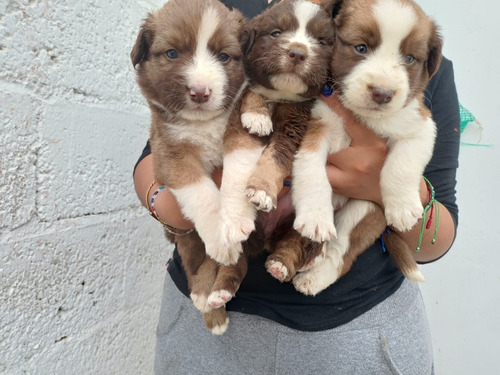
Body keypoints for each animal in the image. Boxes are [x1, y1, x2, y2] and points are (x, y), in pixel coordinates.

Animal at [131, 0, 252, 336]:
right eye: (172, 53)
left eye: (224, 56)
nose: (200, 92)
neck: (202, 124)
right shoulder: (169, 153)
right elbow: (203, 194)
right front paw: (220, 236)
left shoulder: (243, 129)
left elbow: (239, 173)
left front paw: (233, 220)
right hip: (184, 236)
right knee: (193, 260)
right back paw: (205, 297)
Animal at [292, 0, 442, 296]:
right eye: (360, 48)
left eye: (410, 59)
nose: (383, 94)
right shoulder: (319, 123)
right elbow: (310, 168)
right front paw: (315, 216)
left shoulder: (420, 123)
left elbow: (403, 163)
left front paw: (404, 207)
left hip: (366, 211)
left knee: (342, 253)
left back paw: (314, 277)